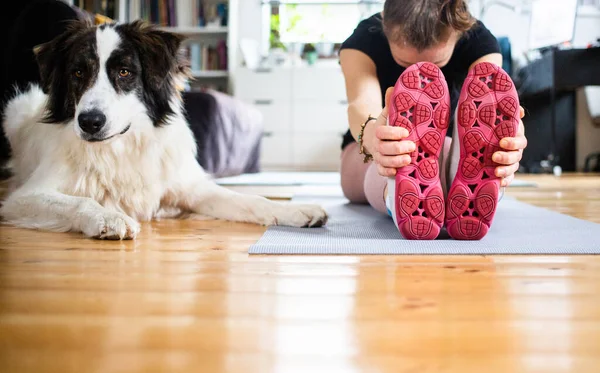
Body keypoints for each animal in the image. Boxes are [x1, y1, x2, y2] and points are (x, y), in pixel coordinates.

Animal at [0, 20, 328, 238]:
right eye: (78, 73)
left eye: (124, 72)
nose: (90, 122)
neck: (121, 147)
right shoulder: (23, 198)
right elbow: (81, 200)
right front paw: (108, 216)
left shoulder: (192, 188)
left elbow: (249, 199)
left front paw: (297, 211)